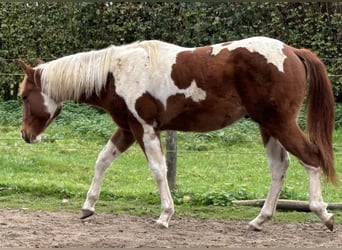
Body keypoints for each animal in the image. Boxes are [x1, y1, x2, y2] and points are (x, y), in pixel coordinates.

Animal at [17, 36, 336, 230]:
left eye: (23, 96)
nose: (25, 135)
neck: (115, 72)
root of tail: (292, 52)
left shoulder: (144, 129)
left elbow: (159, 170)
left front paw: (164, 215)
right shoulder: (127, 129)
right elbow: (102, 161)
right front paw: (87, 207)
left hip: (280, 123)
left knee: (310, 158)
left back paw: (324, 214)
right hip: (268, 126)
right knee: (280, 167)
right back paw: (260, 219)